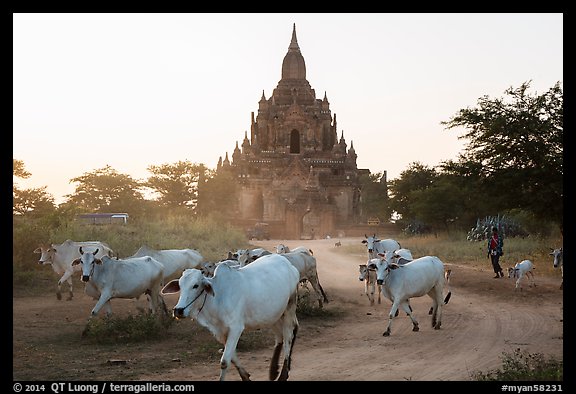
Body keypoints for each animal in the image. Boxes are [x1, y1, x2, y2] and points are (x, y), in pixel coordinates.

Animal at [160, 254, 300, 380]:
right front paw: (246, 376)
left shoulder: (236, 328)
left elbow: (224, 362)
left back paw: (283, 375)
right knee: (279, 337)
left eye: (195, 285)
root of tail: (288, 264)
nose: (178, 310)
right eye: (180, 285)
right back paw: (273, 371)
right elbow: (232, 357)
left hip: (289, 306)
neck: (217, 298)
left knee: (288, 336)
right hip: (271, 314)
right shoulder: (219, 331)